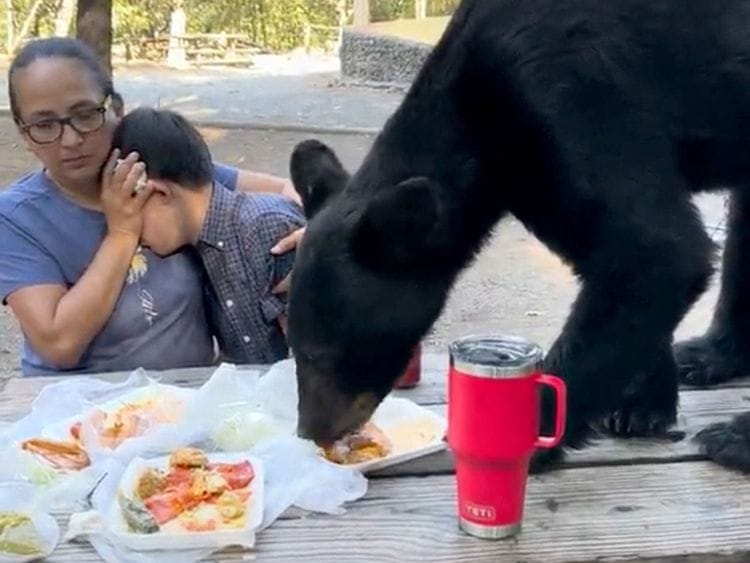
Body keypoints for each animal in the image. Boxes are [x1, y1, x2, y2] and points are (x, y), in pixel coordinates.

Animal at [286, 0, 750, 472]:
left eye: (321, 353)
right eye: (294, 344)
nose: (311, 431)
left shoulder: (571, 97)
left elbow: (656, 251)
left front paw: (529, 438)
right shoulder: (535, 177)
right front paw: (641, 404)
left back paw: (734, 436)